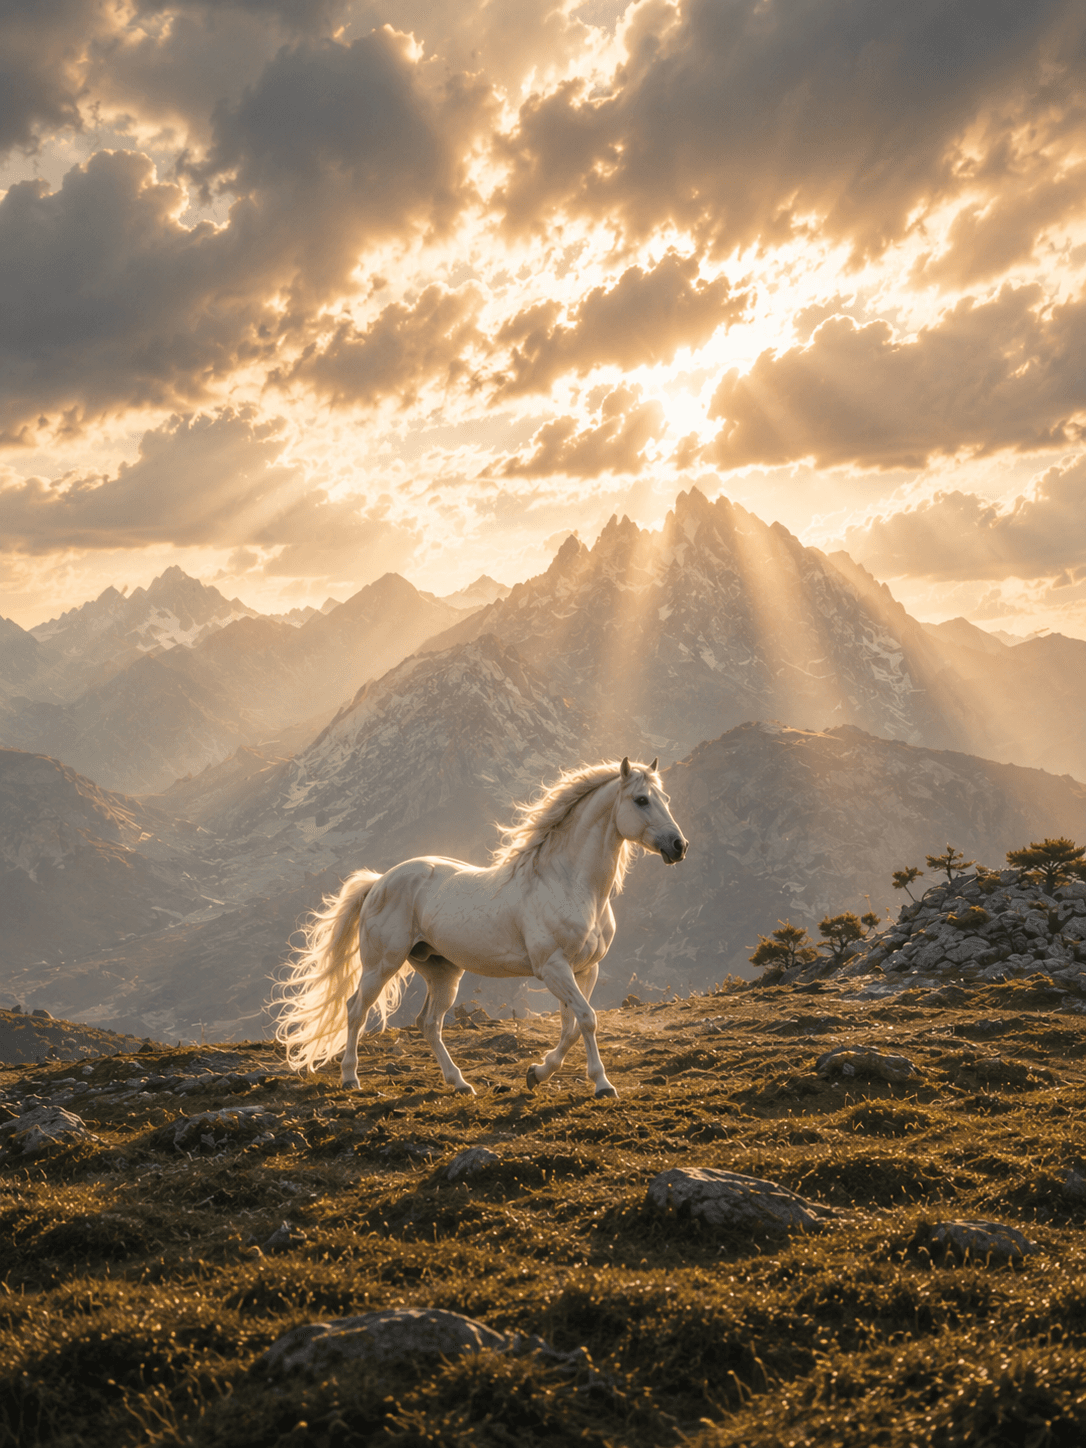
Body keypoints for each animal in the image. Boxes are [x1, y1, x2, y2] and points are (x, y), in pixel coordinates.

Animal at [274, 757, 688, 1099]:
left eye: (665, 797)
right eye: (641, 800)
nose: (678, 846)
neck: (568, 883)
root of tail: (378, 881)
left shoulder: (585, 969)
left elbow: (572, 1026)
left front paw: (538, 1073)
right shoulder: (553, 968)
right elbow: (586, 1020)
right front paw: (602, 1085)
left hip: (441, 971)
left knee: (429, 1023)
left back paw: (459, 1083)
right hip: (382, 964)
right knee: (356, 1009)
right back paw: (351, 1078)